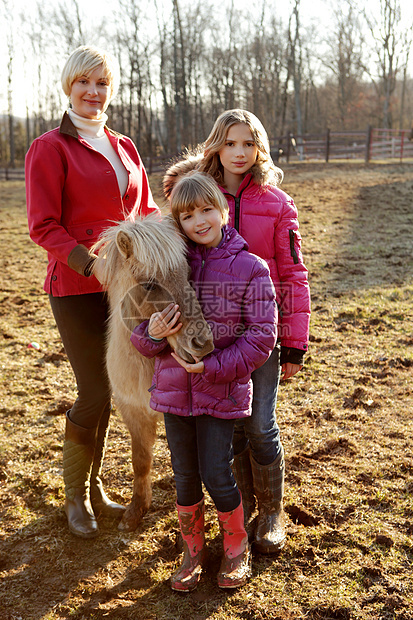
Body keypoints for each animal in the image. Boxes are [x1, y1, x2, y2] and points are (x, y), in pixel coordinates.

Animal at [93, 216, 212, 532]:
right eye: (148, 285)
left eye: (187, 273)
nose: (203, 342)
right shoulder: (133, 411)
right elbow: (141, 460)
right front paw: (135, 511)